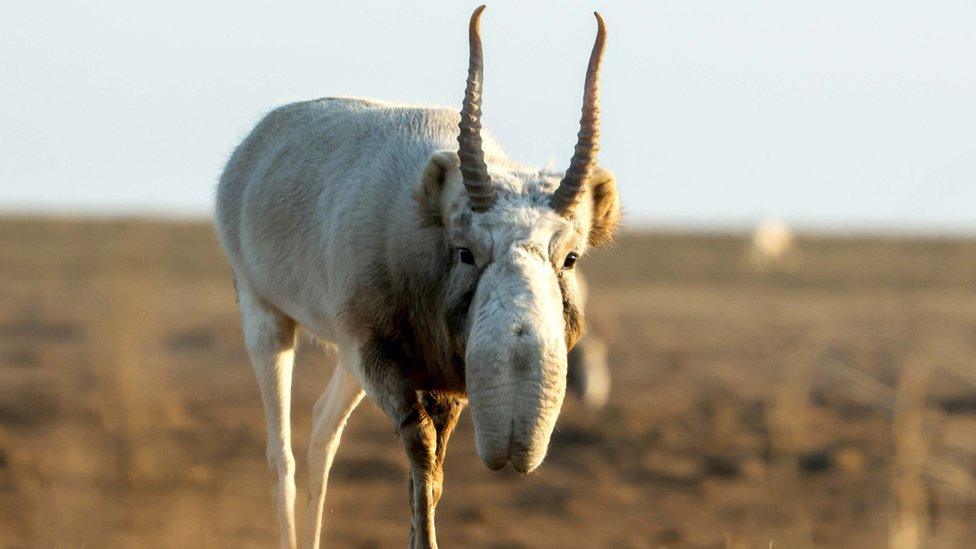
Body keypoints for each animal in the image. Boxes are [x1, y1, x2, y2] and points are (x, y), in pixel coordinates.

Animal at [217, 6, 620, 544]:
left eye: (570, 258)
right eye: (466, 251)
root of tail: (254, 146)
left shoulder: (445, 383)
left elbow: (435, 470)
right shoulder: (379, 358)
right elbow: (421, 447)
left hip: (348, 360)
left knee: (323, 430)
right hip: (267, 318)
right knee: (280, 455)